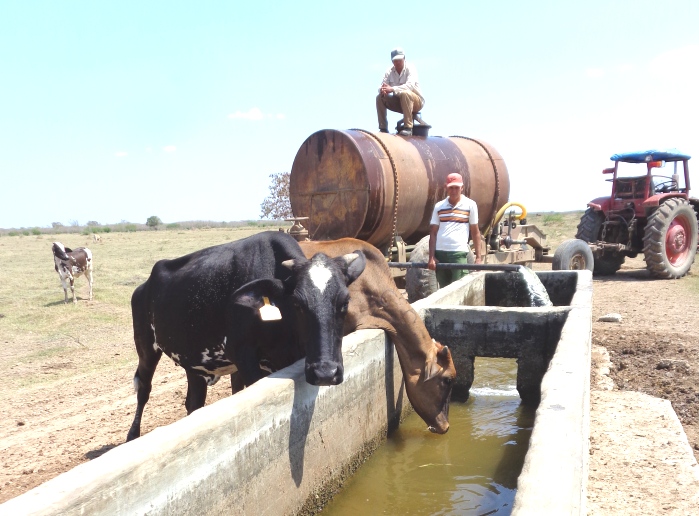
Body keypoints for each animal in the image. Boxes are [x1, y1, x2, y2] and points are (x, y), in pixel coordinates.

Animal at [126, 232, 366, 442]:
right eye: (298, 303)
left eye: (345, 302)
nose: (325, 373)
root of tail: (143, 286)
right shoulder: (243, 354)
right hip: (146, 348)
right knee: (144, 389)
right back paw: (132, 436)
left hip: (192, 362)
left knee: (193, 402)